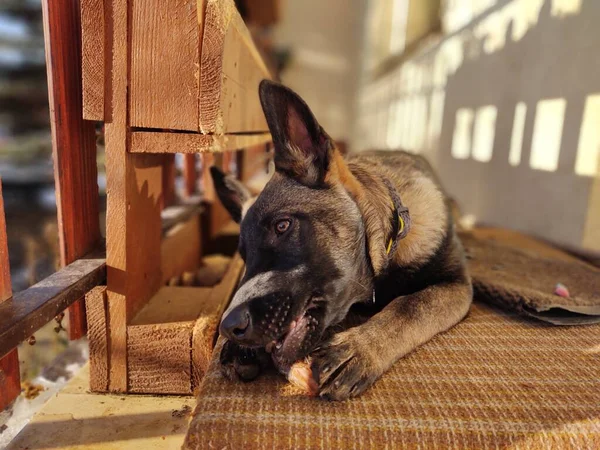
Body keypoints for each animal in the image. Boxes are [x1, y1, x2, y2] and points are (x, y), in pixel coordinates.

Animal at [211, 79, 474, 400]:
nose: (228, 327)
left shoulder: (455, 285)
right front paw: (238, 348)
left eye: (282, 226)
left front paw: (360, 348)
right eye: (244, 256)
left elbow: (411, 305)